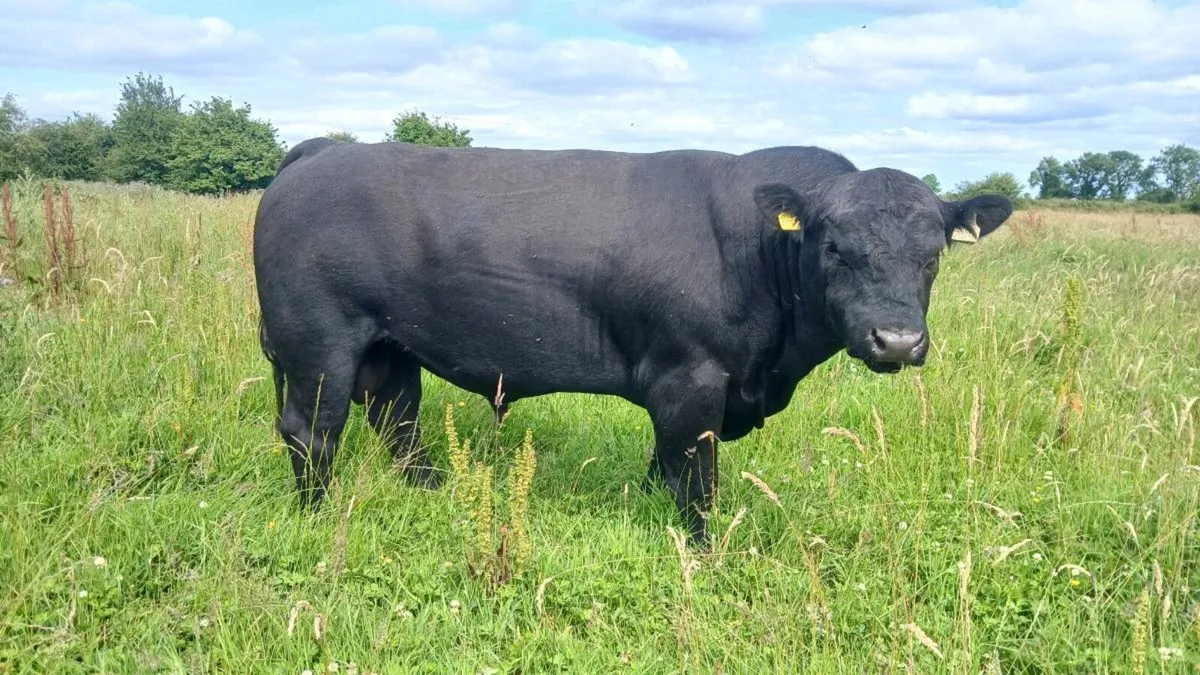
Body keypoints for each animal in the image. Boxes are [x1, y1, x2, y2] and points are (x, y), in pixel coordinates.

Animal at [252, 138, 1012, 547]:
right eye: (835, 248)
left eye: (934, 254)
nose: (897, 340)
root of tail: (324, 150)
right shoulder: (691, 377)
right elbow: (697, 475)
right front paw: (702, 552)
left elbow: (664, 465)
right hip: (317, 344)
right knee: (313, 430)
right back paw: (317, 515)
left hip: (390, 345)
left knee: (396, 416)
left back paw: (433, 491)